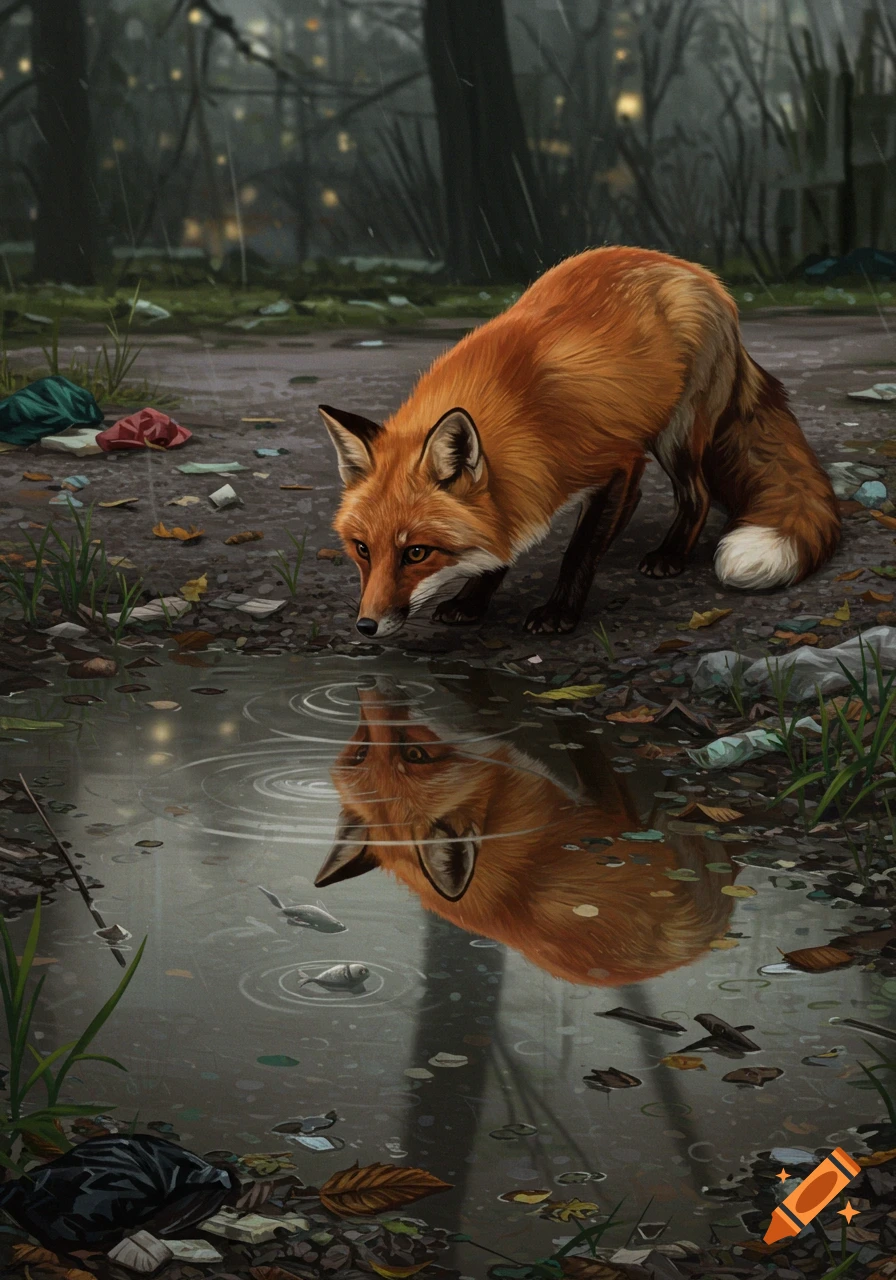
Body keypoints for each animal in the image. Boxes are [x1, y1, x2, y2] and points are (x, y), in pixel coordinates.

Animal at [318, 246, 840, 638]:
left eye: (416, 553)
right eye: (362, 549)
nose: (366, 627)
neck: (519, 412)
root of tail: (703, 276)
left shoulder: (617, 462)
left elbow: (579, 550)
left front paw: (560, 612)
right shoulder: (523, 492)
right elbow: (502, 545)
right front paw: (474, 599)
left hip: (676, 433)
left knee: (697, 494)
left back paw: (670, 555)